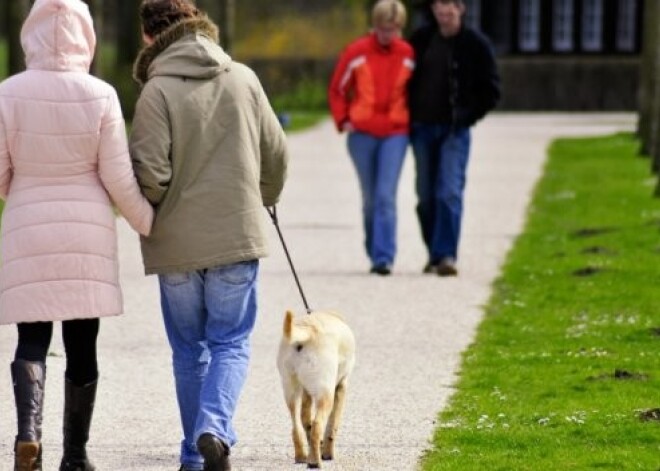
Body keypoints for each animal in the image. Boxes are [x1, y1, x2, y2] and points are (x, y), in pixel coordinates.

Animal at [278, 310, 356, 468]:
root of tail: (306, 331)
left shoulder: (306, 393)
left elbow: (306, 421)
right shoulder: (341, 387)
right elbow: (332, 427)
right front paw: (327, 454)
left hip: (291, 392)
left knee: (296, 428)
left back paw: (302, 457)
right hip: (325, 395)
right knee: (318, 426)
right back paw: (314, 462)